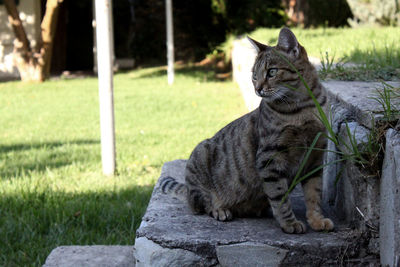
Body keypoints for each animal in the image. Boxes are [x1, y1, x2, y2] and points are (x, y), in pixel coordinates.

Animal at [159, 27, 334, 234]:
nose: (257, 89)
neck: (303, 107)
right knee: (202, 204)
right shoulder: (270, 158)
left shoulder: (315, 156)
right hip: (200, 155)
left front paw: (317, 220)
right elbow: (280, 198)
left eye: (272, 72)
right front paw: (289, 223)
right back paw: (220, 210)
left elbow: (314, 194)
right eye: (254, 76)